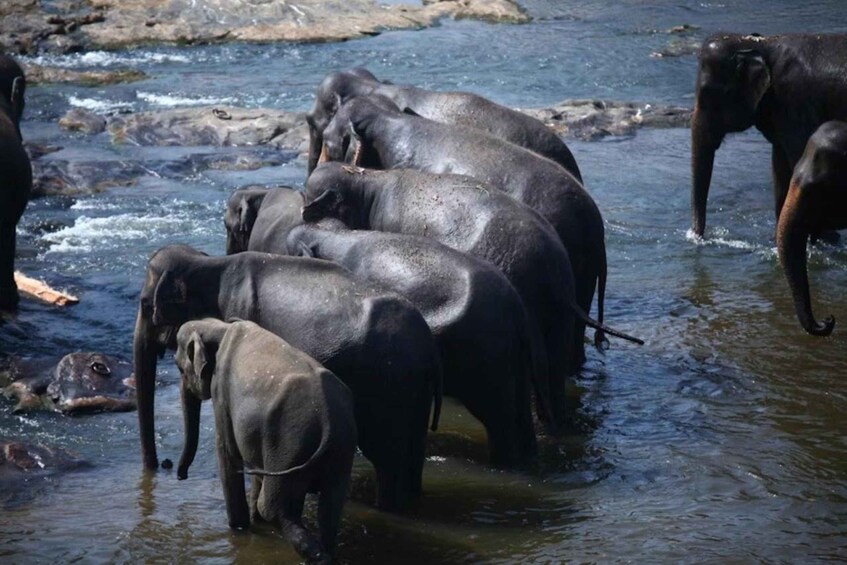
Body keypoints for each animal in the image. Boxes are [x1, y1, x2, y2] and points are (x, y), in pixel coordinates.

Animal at [133, 245, 441, 511]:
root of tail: (428, 345)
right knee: (413, 454)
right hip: (415, 391)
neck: (209, 263)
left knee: (385, 459)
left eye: (145, 304)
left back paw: (382, 508)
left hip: (388, 386)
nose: (168, 467)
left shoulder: (238, 315)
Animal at [175, 319, 356, 563]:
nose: (180, 476)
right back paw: (325, 554)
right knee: (331, 507)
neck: (219, 326)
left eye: (179, 368)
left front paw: (239, 528)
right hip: (338, 450)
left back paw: (317, 556)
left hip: (288, 447)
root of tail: (328, 419)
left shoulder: (221, 394)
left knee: (273, 508)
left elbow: (227, 454)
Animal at [284, 221, 538, 466]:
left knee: (500, 421)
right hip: (514, 360)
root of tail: (517, 308)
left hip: (488, 357)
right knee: (522, 417)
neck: (333, 236)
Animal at [301, 163, 642, 429]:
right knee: (556, 370)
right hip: (562, 312)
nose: (303, 214)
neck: (367, 179)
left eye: (307, 198)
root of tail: (555, 275)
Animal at [691, 33, 847, 238]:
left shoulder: (796, 105)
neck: (761, 45)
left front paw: (823, 238)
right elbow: (780, 168)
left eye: (708, 94)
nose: (696, 237)